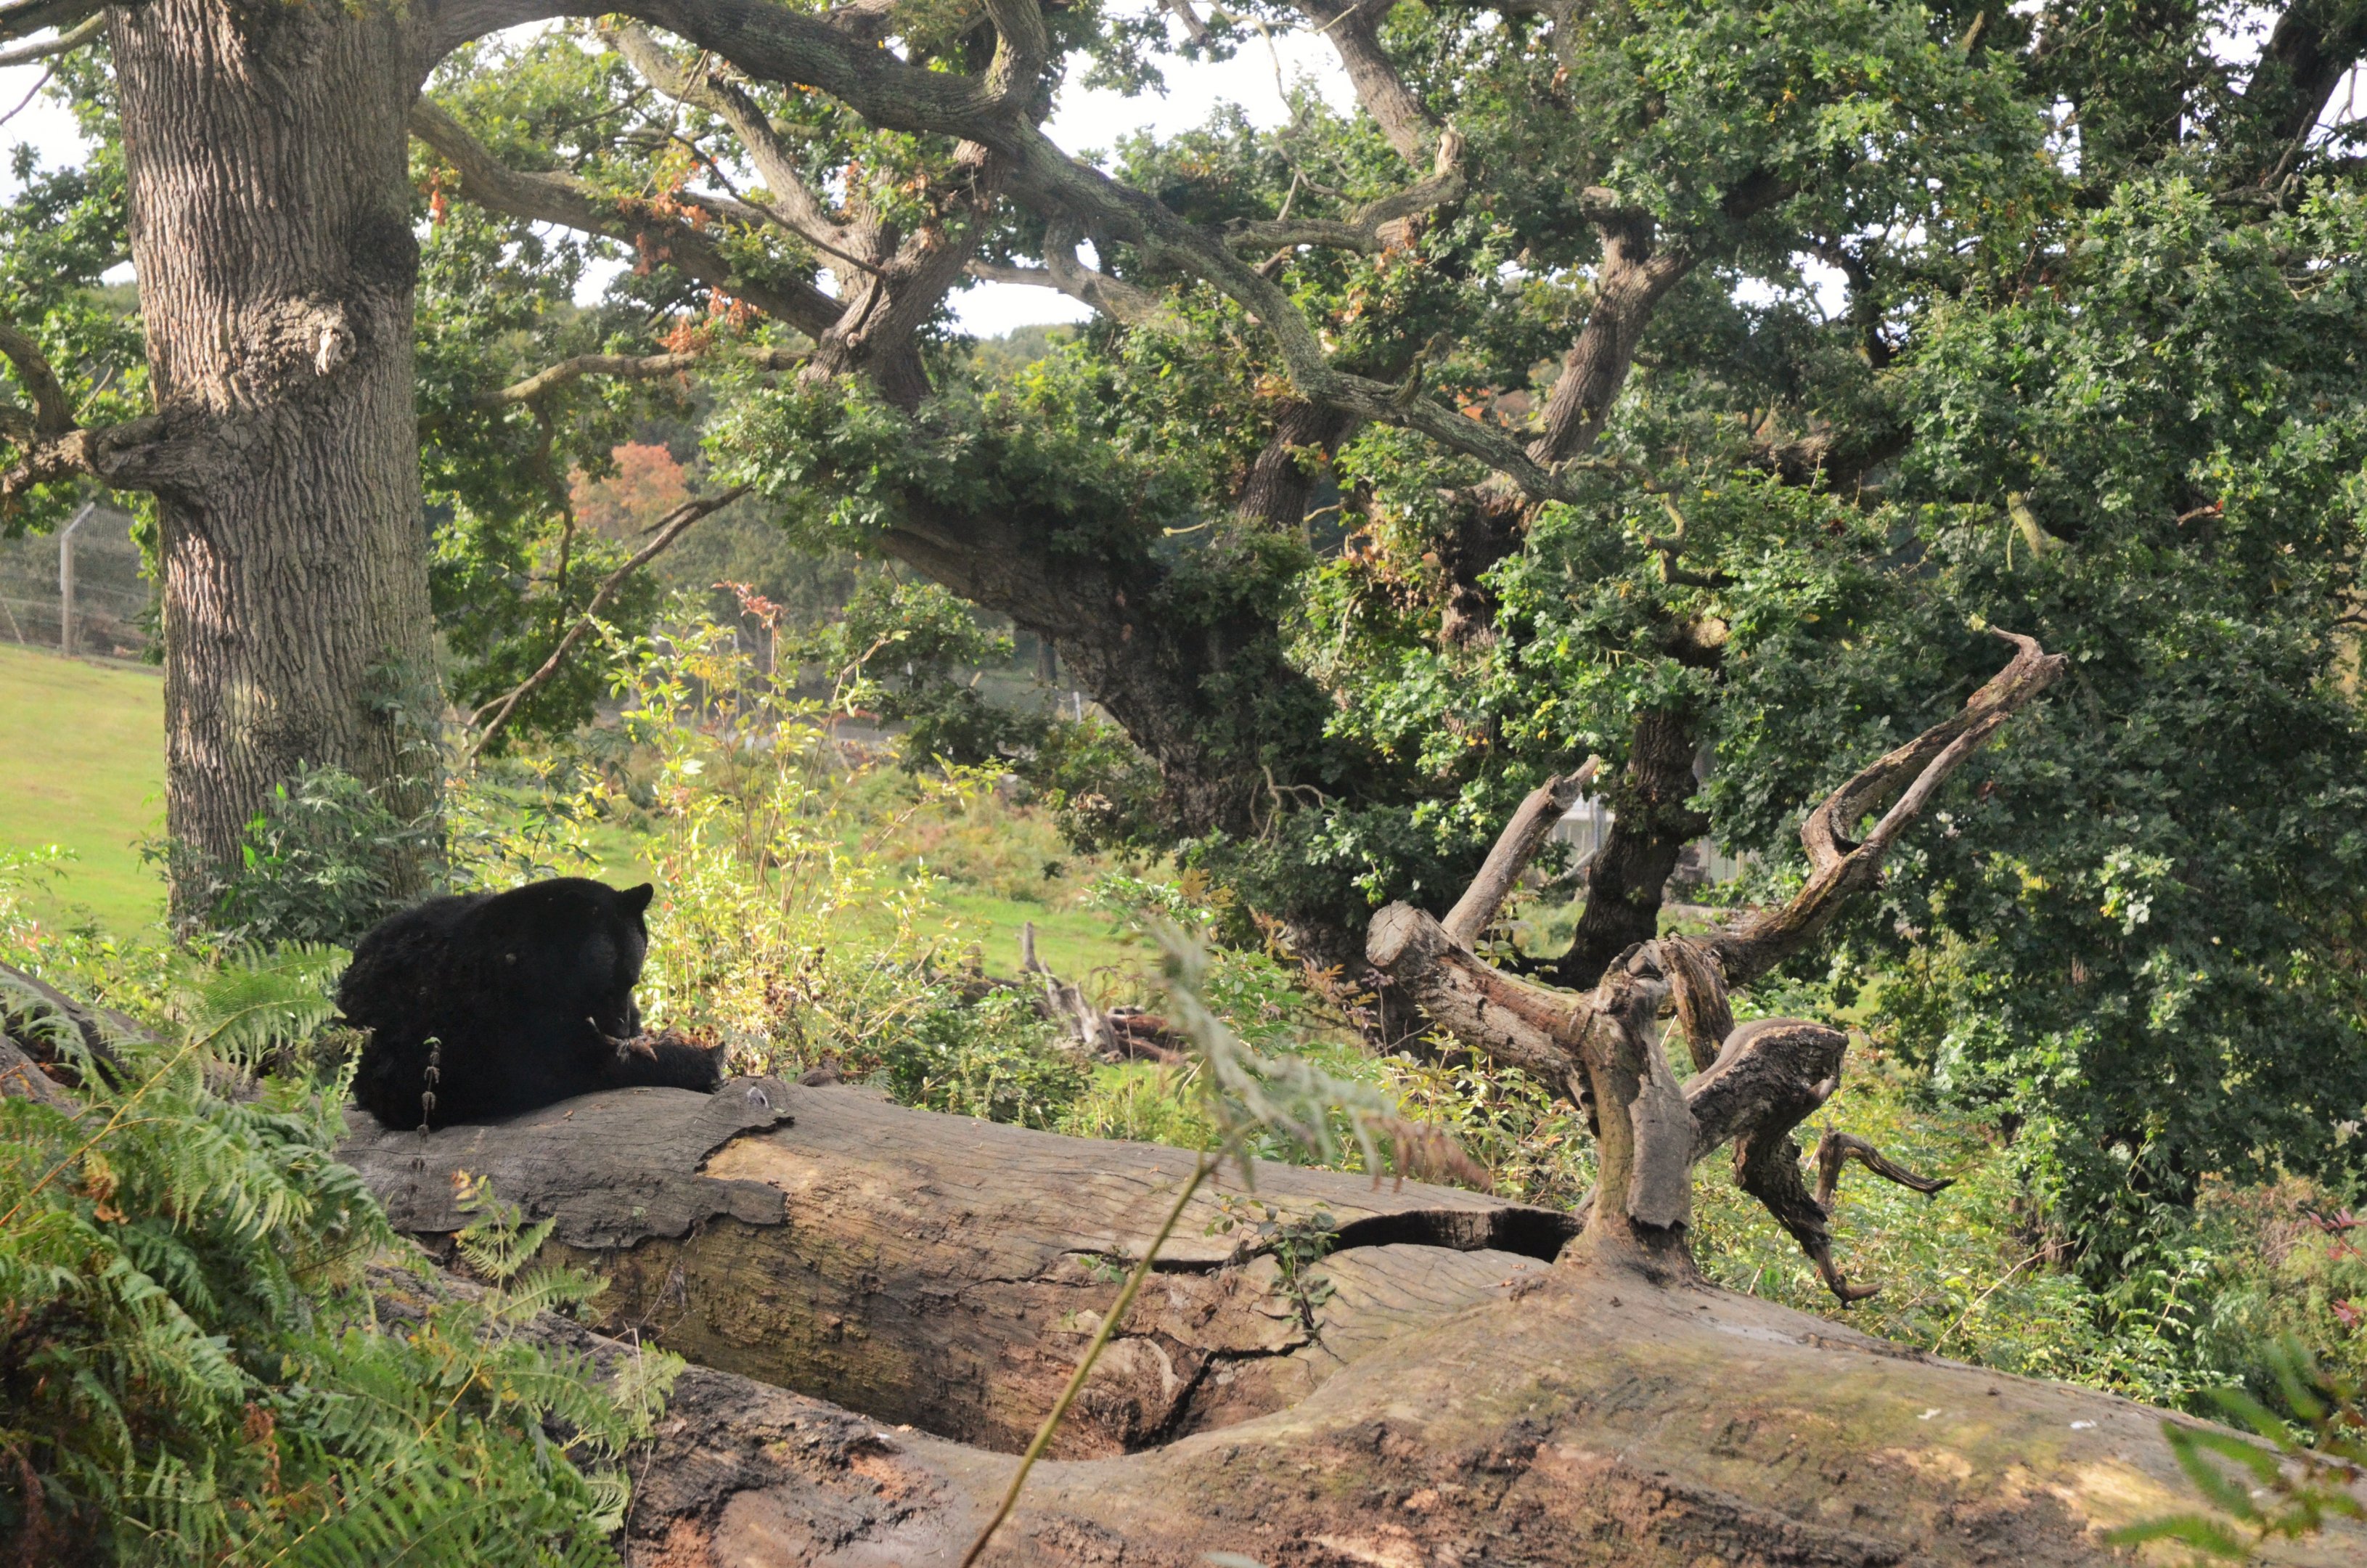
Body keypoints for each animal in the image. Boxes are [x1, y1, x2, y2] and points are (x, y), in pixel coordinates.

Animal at [339, 877, 724, 1129]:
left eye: (631, 980)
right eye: (603, 987)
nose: (621, 1028)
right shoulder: (512, 1008)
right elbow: (579, 1063)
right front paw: (698, 1064)